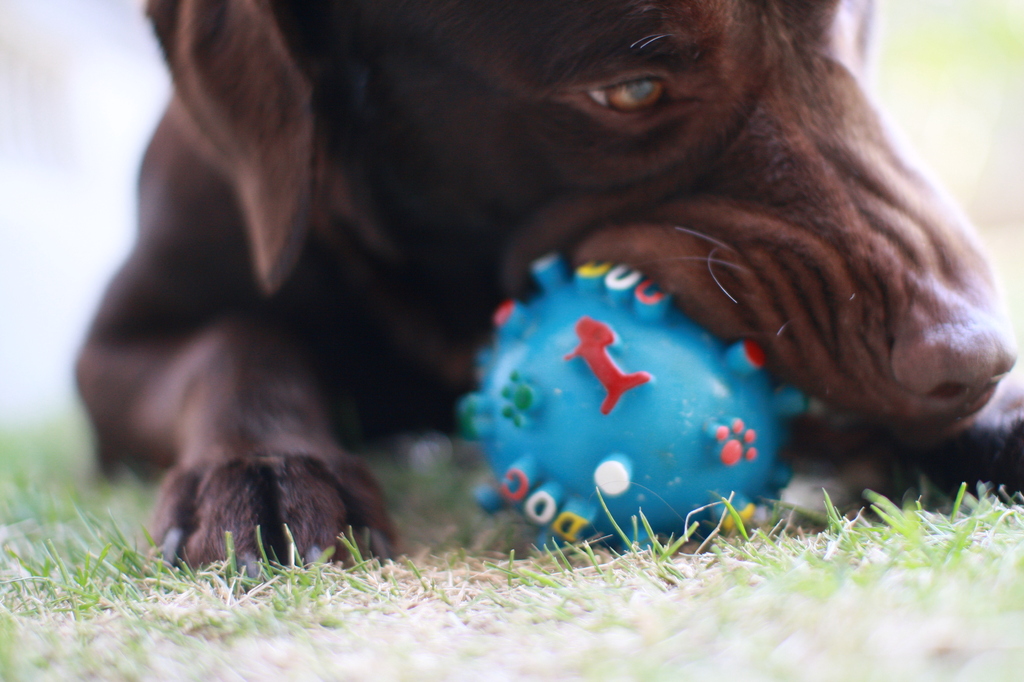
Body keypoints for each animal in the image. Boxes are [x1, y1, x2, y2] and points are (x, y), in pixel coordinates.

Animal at [75, 0, 1024, 561]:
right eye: (632, 89)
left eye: (856, 19)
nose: (976, 357)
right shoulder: (110, 351)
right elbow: (236, 338)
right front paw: (264, 465)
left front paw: (995, 424)